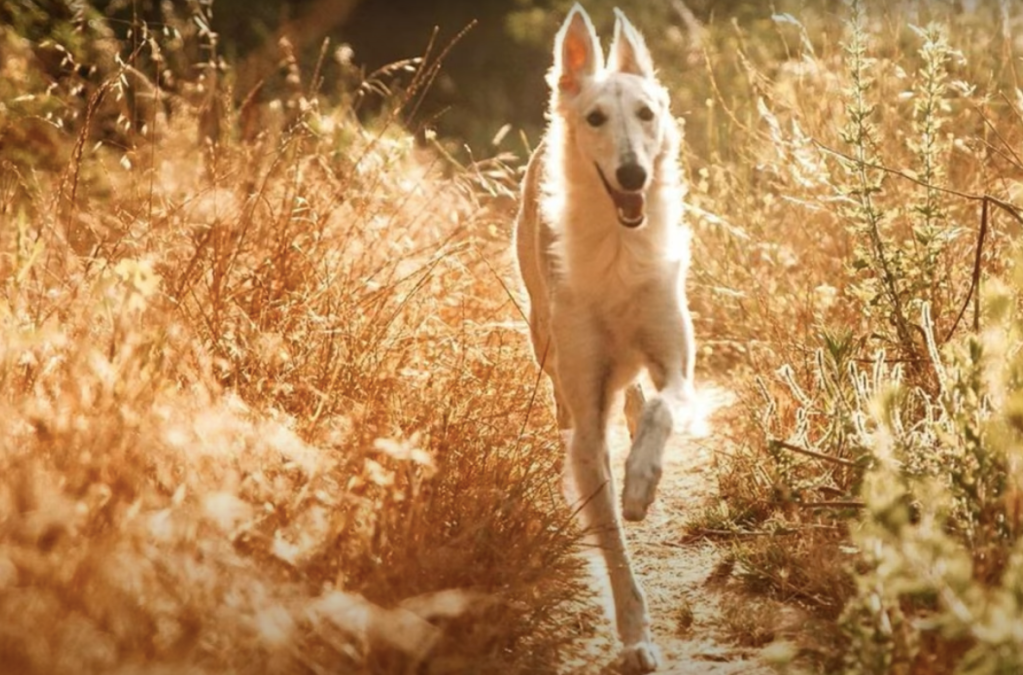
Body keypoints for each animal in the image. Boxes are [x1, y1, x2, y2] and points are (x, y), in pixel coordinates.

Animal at [511, 2, 695, 670]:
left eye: (646, 113)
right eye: (595, 119)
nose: (633, 174)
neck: (619, 248)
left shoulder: (677, 361)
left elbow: (664, 408)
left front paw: (642, 482)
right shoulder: (588, 417)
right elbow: (611, 540)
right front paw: (636, 636)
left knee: (643, 399)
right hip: (547, 340)